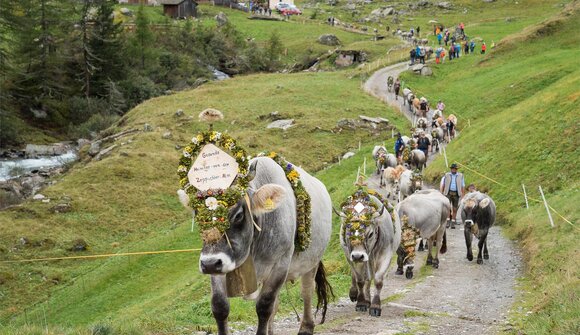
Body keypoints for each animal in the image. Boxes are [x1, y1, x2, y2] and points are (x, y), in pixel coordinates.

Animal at [177, 111, 334, 335]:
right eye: (198, 216)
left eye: (238, 215)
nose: (209, 263)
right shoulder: (220, 268)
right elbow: (220, 307)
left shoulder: (279, 265)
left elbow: (264, 306)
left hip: (311, 261)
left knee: (306, 291)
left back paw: (306, 327)